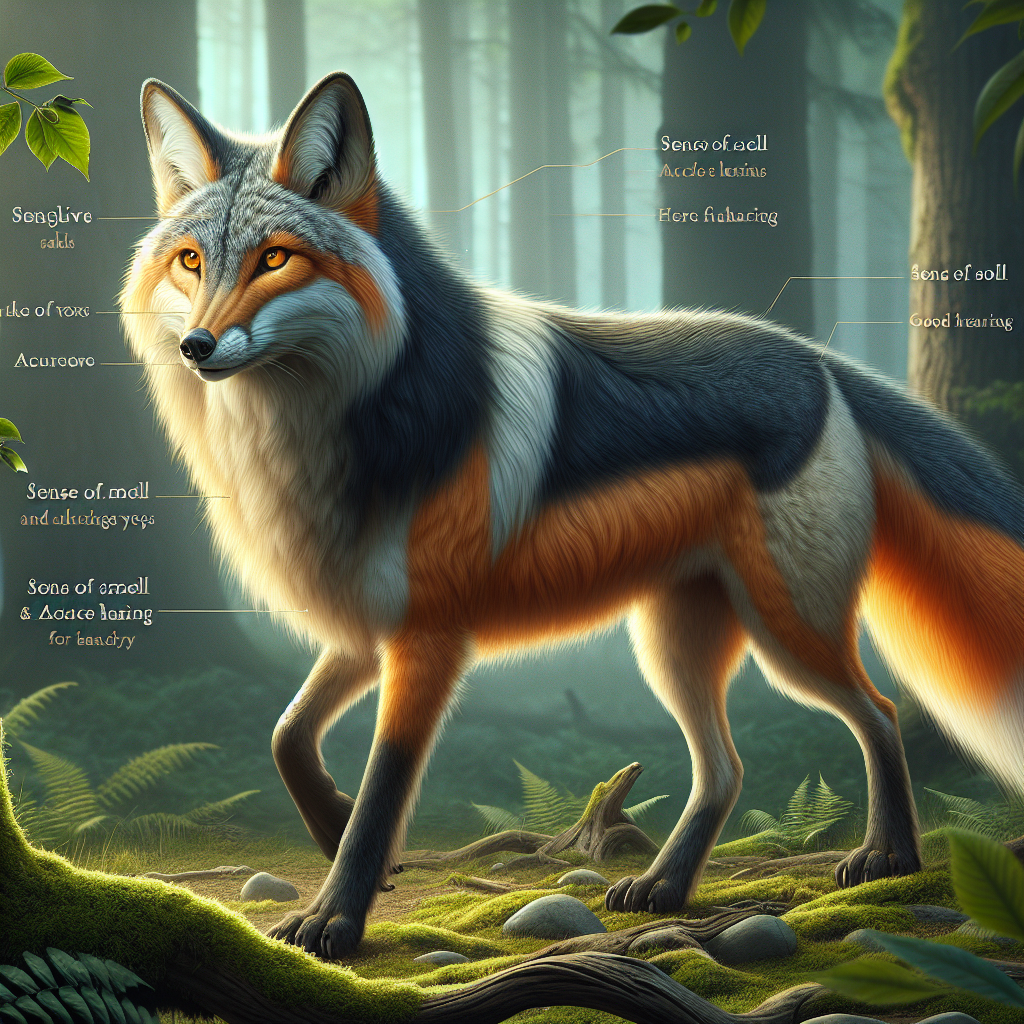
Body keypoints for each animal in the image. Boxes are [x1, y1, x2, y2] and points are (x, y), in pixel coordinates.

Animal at [121, 72, 1024, 959]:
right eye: (192, 262)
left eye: (275, 258)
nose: (196, 348)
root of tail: (820, 362)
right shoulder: (364, 625)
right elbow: (288, 736)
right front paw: (337, 833)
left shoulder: (427, 640)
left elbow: (383, 788)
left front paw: (335, 919)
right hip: (673, 647)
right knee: (726, 769)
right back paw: (664, 887)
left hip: (787, 635)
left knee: (879, 714)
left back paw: (888, 857)